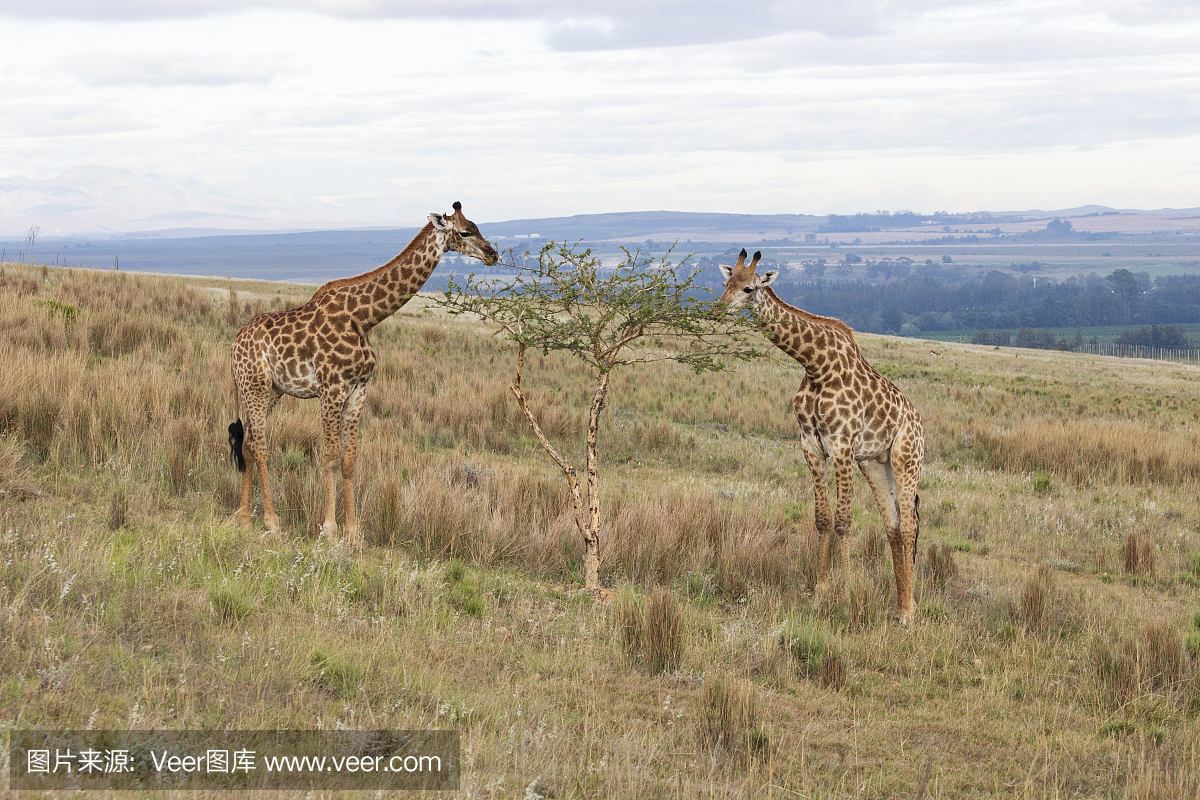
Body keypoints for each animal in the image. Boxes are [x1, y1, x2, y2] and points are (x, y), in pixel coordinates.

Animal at [226, 203, 494, 546]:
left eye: (477, 226)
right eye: (464, 232)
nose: (492, 254)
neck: (364, 318)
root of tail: (234, 344)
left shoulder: (358, 391)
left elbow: (350, 460)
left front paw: (353, 532)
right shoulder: (331, 389)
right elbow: (330, 457)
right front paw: (329, 529)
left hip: (269, 390)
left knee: (247, 442)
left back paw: (244, 517)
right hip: (255, 386)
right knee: (259, 445)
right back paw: (271, 522)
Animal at [715, 247, 921, 623]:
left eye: (749, 288)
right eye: (725, 283)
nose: (718, 309)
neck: (815, 367)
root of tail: (920, 423)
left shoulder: (842, 445)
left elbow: (844, 521)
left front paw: (849, 590)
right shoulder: (810, 445)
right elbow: (823, 519)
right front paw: (821, 590)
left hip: (907, 459)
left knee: (910, 525)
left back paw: (909, 613)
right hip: (875, 463)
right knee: (894, 526)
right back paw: (900, 605)